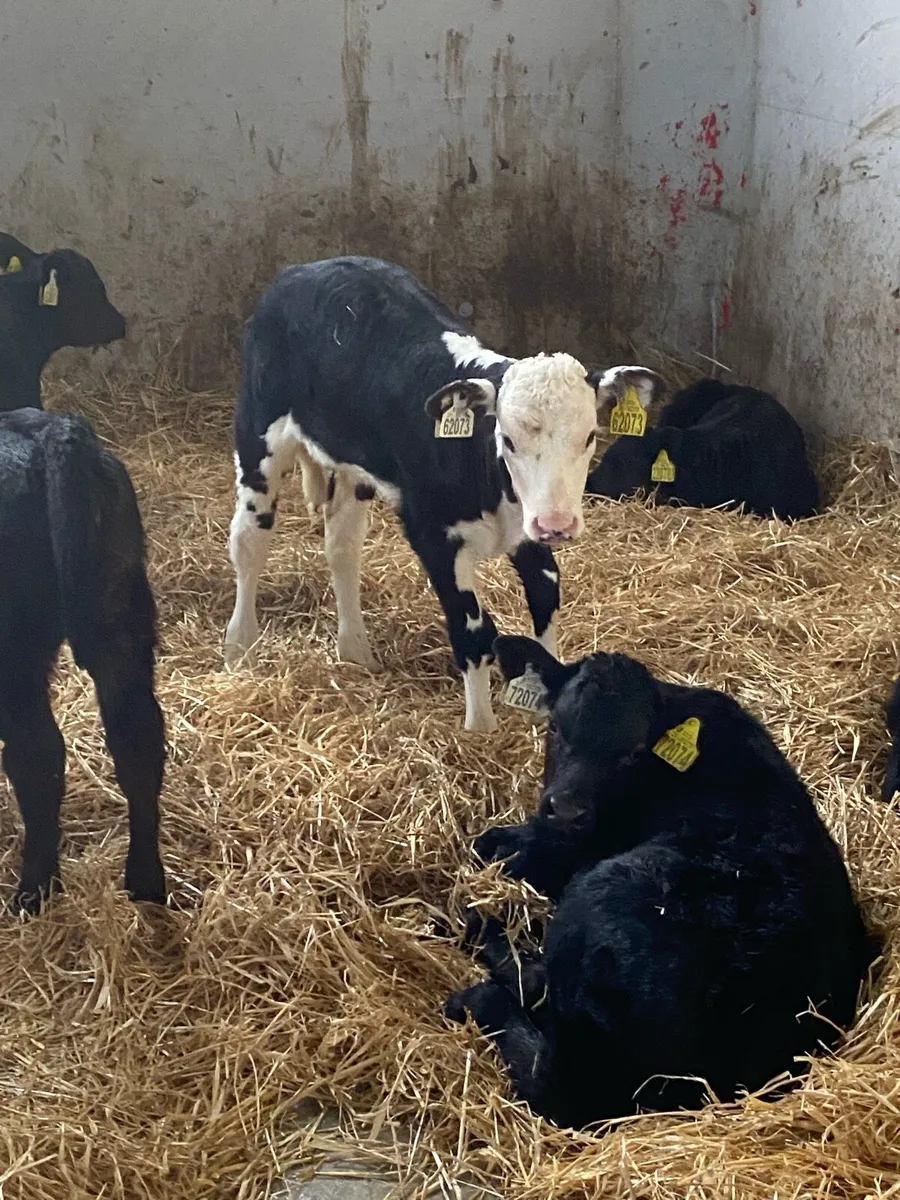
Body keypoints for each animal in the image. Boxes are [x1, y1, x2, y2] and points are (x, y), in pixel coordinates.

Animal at [0, 408, 166, 914]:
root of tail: (49, 428)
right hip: (120, 613)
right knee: (138, 738)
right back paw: (146, 882)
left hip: (14, 655)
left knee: (37, 752)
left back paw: (33, 889)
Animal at [223, 256, 662, 730]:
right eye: (508, 439)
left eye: (589, 437)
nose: (557, 524)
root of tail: (308, 267)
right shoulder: (433, 534)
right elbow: (473, 631)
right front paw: (480, 731)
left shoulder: (526, 527)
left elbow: (545, 598)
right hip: (259, 435)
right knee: (249, 540)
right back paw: (240, 646)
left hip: (355, 465)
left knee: (342, 547)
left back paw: (355, 650)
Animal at [445, 635, 871, 1127]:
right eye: (554, 727)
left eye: (633, 752)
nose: (567, 810)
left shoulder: (566, 854)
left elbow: (499, 848)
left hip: (602, 892)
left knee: (556, 1084)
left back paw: (477, 965)